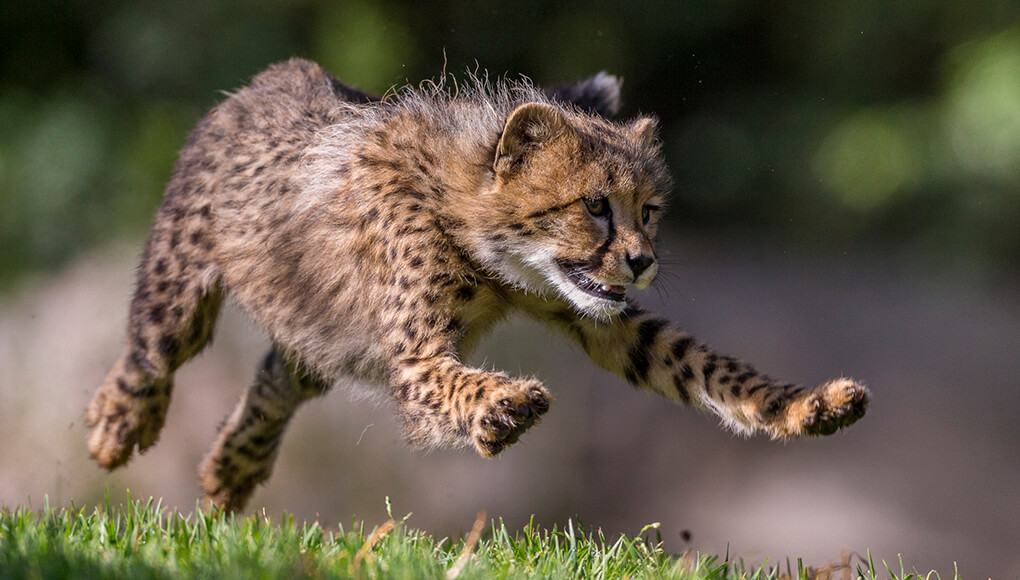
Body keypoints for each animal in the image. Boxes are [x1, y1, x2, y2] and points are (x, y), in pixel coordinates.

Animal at [87, 59, 869, 511]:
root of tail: (279, 73)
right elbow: (450, 381)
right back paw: (118, 424)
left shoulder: (590, 309)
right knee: (153, 350)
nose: (643, 261)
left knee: (280, 376)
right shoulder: (415, 359)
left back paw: (230, 470)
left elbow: (702, 365)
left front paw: (810, 405)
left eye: (648, 211)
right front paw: (503, 404)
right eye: (595, 205)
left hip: (321, 329)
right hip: (184, 277)